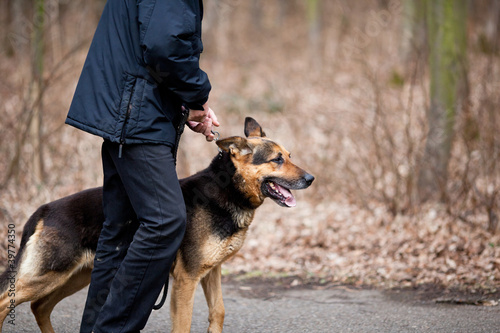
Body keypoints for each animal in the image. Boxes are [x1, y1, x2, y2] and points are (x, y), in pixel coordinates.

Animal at [0, 118, 312, 330]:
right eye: (277, 160)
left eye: (290, 157)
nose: (311, 179)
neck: (227, 189)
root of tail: (44, 209)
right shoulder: (186, 280)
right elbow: (184, 324)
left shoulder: (212, 272)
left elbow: (218, 312)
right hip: (48, 275)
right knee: (8, 302)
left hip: (78, 275)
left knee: (40, 306)